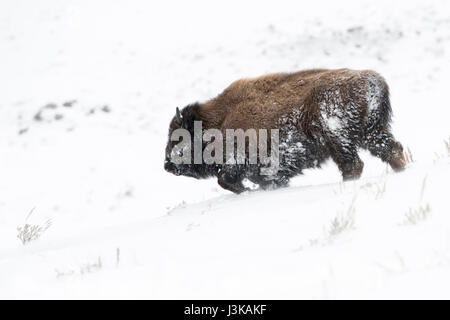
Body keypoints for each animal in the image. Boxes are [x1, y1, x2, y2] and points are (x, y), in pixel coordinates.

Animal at [163, 69, 406, 194]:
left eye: (178, 138)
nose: (167, 165)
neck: (219, 119)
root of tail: (373, 80)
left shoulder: (238, 160)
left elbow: (225, 180)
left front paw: (249, 191)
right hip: (372, 133)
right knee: (392, 150)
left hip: (338, 138)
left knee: (353, 165)